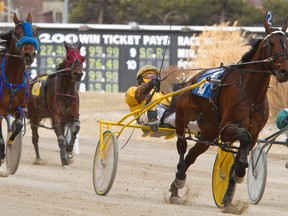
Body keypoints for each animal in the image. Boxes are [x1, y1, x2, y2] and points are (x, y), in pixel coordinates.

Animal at [168, 19, 288, 206]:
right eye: (271, 43)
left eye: (287, 42)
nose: (284, 71)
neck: (251, 94)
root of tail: (191, 80)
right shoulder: (226, 130)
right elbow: (243, 137)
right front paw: (240, 172)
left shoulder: (254, 134)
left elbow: (242, 152)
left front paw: (228, 195)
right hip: (183, 116)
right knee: (182, 145)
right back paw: (179, 180)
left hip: (209, 131)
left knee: (192, 155)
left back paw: (175, 187)